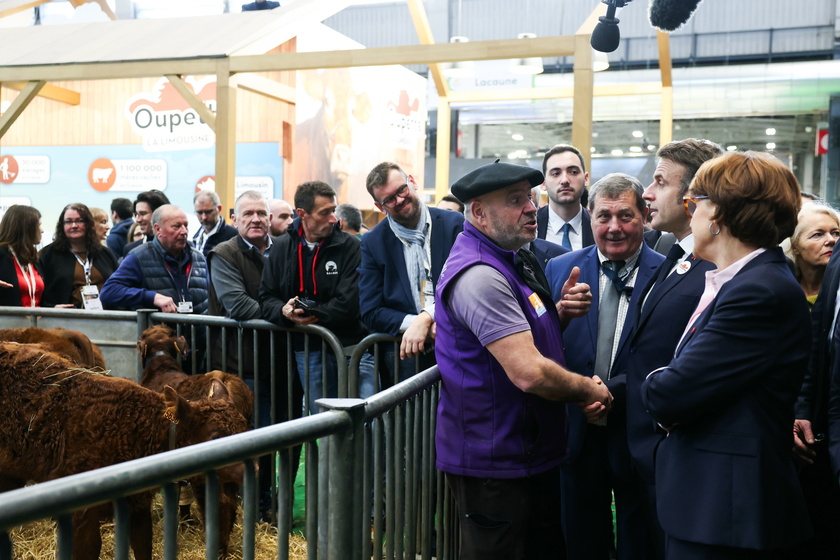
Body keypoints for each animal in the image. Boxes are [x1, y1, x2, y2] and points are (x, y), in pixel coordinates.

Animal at [0, 342, 249, 560]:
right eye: (215, 436)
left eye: (245, 427)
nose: (252, 466)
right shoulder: (83, 512)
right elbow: (89, 550)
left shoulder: (138, 505)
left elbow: (143, 546)